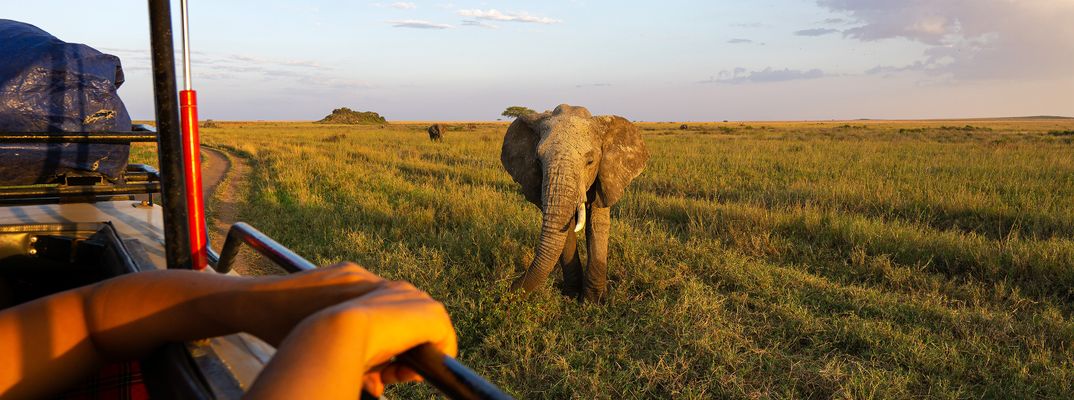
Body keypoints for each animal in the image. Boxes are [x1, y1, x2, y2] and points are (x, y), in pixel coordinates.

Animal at [500, 104, 648, 301]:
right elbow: (567, 227)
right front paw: (571, 294)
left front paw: (593, 301)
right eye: (537, 161)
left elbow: (596, 223)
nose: (506, 291)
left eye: (590, 161)